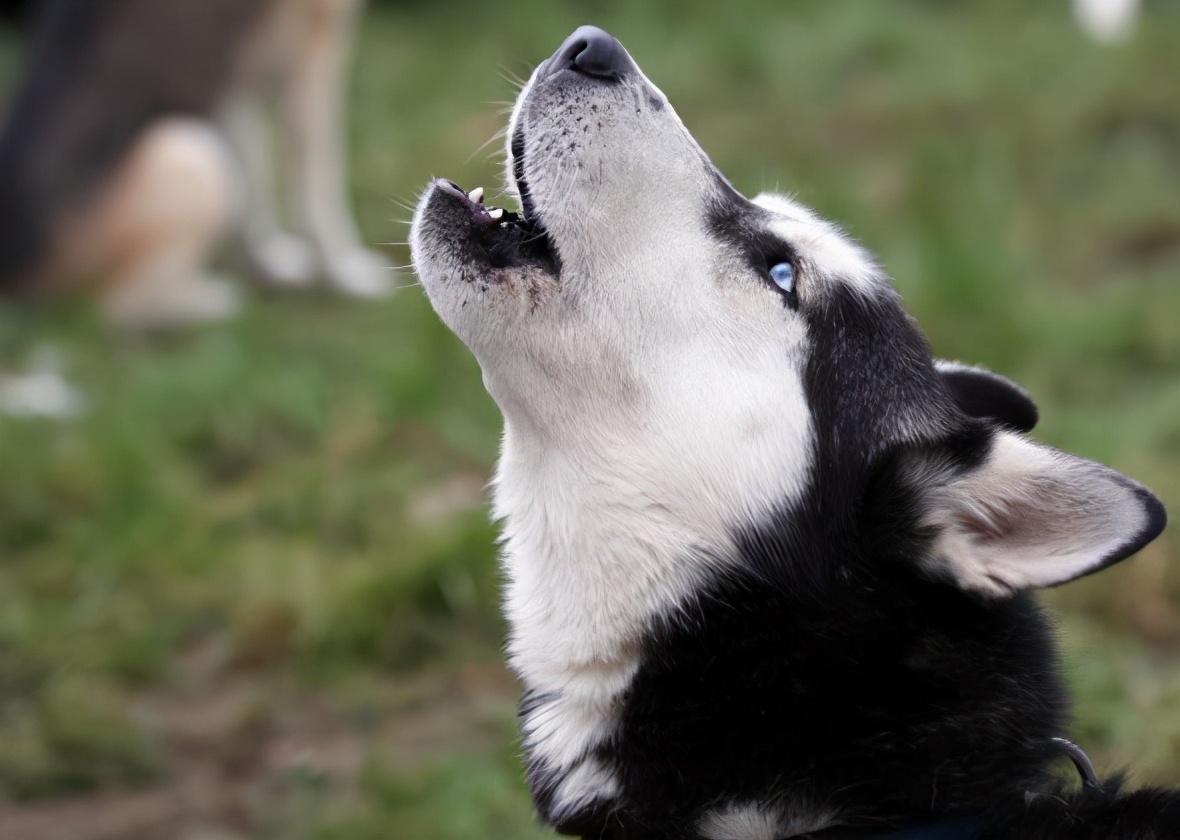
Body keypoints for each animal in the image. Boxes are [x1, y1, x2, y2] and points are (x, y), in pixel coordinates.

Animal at [0, 0, 384, 327]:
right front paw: (346, 277)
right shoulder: (314, 52)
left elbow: (253, 181)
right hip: (192, 153)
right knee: (113, 308)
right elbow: (319, 190)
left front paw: (267, 264)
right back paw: (218, 302)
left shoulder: (239, 74)